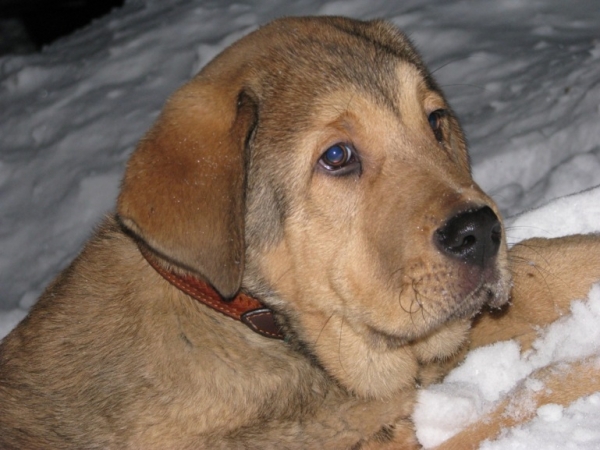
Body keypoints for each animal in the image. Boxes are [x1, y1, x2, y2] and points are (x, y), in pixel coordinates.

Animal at [0, 15, 596, 448]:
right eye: (337, 157)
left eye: (436, 123)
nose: (481, 231)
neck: (247, 315)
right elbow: (527, 397)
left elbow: (547, 260)